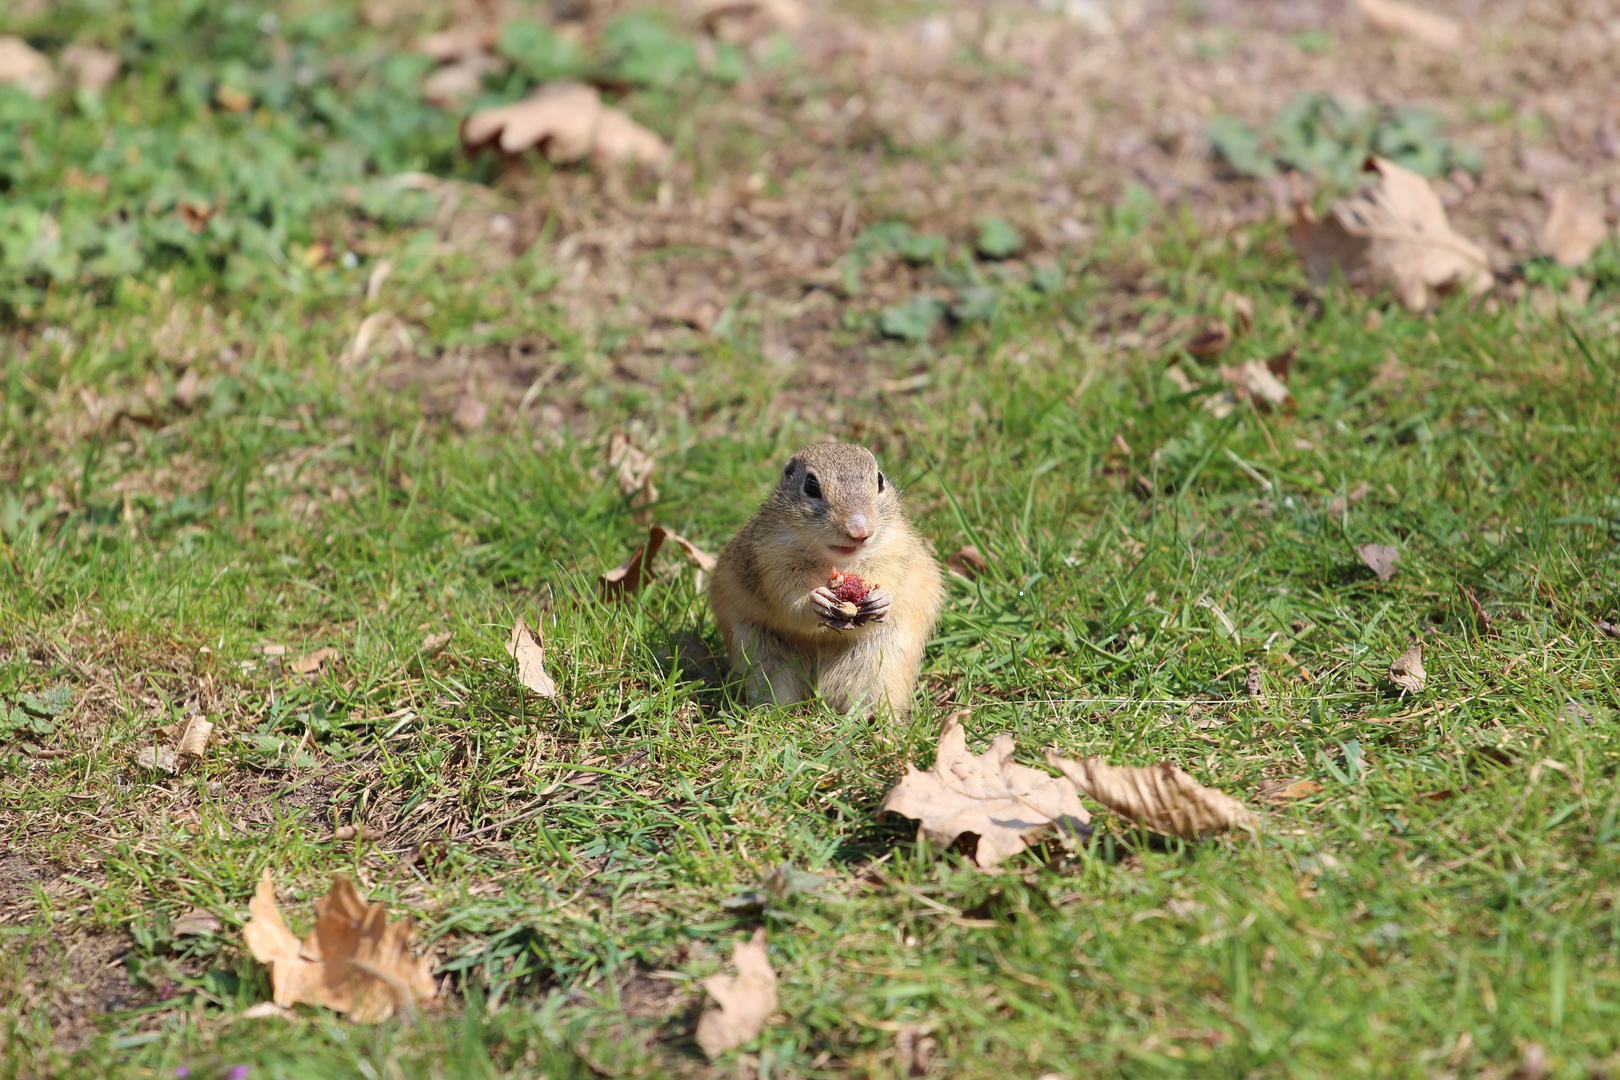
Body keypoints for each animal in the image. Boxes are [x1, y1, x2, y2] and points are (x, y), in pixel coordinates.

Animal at [709, 443, 946, 712]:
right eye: (811, 485)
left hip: (881, 664)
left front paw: (882, 599)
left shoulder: (893, 548)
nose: (860, 531)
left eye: (879, 480)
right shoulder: (773, 559)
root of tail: (819, 690)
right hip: (761, 656)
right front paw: (816, 601)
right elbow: (789, 601)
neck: (838, 560)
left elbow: (890, 577)